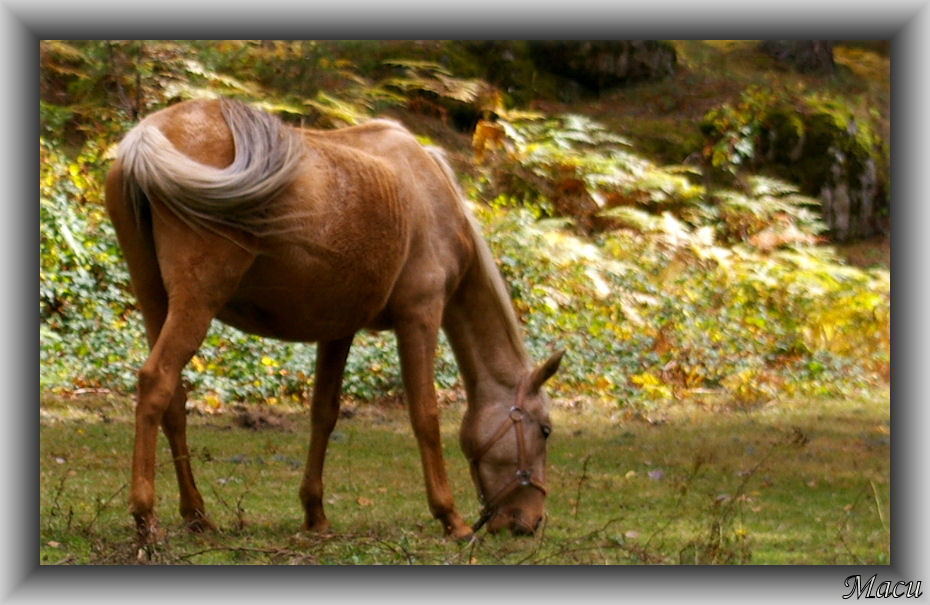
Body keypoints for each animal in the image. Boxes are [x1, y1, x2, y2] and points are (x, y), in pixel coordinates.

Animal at [105, 96, 560, 540]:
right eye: (545, 430)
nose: (530, 522)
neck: (425, 191)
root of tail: (146, 137)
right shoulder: (420, 316)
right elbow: (425, 415)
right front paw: (451, 518)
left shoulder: (338, 330)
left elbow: (324, 414)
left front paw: (315, 514)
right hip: (196, 304)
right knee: (156, 382)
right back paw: (145, 516)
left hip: (155, 300)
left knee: (174, 401)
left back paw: (197, 515)